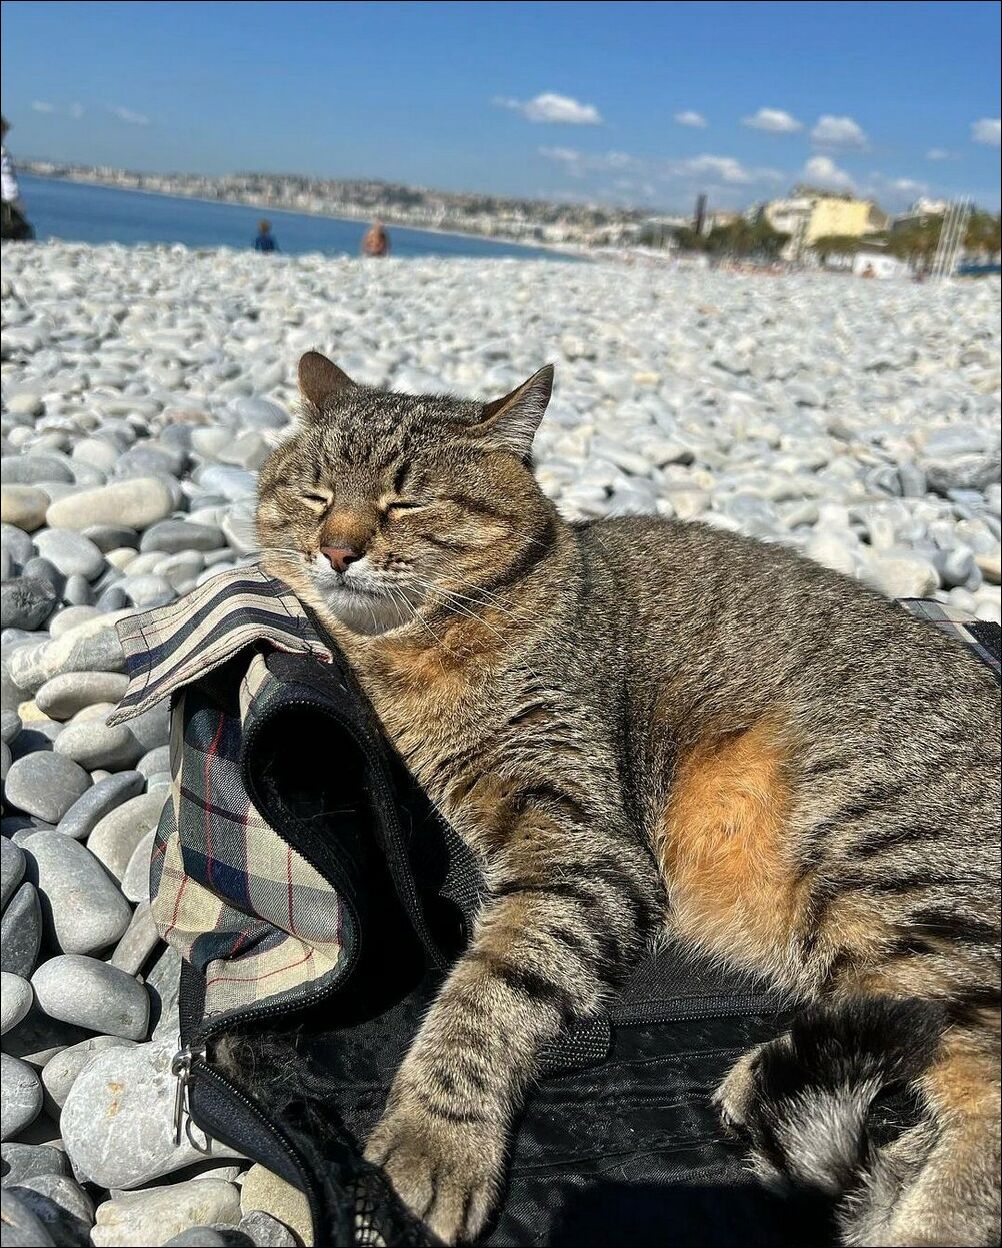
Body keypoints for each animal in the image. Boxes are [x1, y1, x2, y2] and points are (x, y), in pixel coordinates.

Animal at [257, 350, 1001, 1247]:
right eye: (316, 494)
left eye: (408, 500)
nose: (336, 549)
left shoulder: (579, 845)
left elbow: (486, 994)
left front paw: (434, 1137)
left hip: (881, 855)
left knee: (986, 1088)